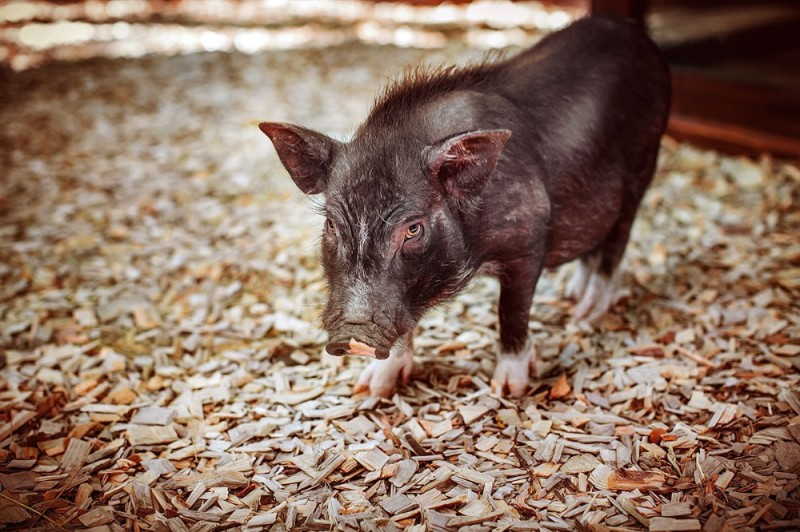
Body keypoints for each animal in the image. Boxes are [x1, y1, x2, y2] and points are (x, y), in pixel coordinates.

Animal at [260, 14, 668, 396]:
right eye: (331, 224)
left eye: (413, 228)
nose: (353, 334)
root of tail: (633, 33)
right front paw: (371, 388)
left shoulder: (528, 240)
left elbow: (512, 312)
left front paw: (508, 388)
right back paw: (574, 295)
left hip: (645, 162)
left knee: (617, 239)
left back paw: (587, 311)